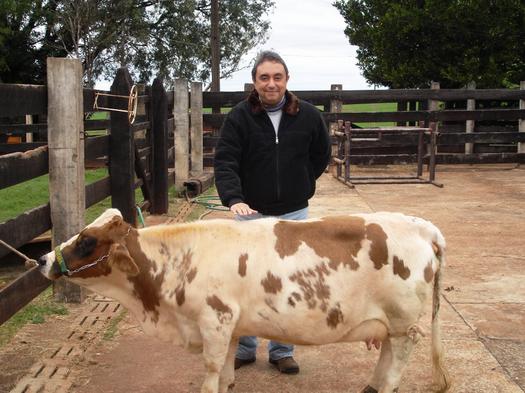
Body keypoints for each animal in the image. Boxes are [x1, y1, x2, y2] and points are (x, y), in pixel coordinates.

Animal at [36, 208, 450, 392]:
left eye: (87, 241)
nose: (43, 260)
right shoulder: (229, 326)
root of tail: (421, 225)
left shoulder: (214, 320)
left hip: (404, 323)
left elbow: (210, 371)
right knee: (387, 355)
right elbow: (226, 373)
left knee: (398, 360)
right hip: (391, 324)